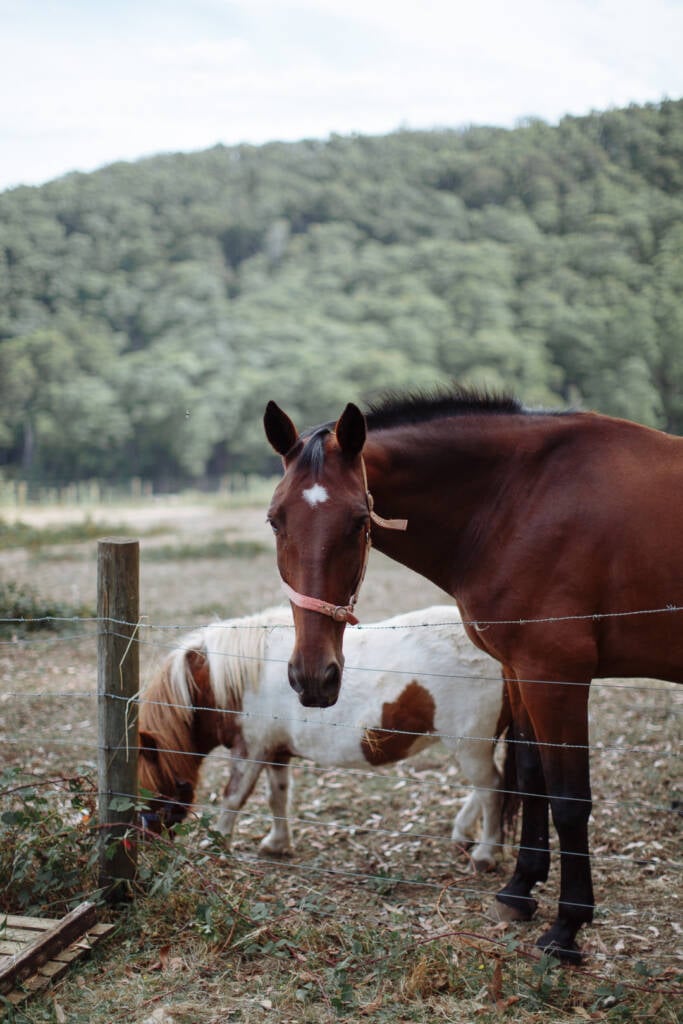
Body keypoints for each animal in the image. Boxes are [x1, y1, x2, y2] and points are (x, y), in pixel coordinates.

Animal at [138, 605, 510, 871]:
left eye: (154, 789)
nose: (148, 844)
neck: (227, 678)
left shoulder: (251, 749)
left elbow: (233, 798)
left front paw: (217, 843)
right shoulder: (275, 752)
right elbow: (277, 797)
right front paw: (278, 843)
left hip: (470, 745)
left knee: (492, 789)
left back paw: (484, 855)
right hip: (472, 746)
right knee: (483, 789)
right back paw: (462, 835)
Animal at [263, 388, 683, 961]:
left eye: (358, 521)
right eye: (274, 520)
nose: (313, 677)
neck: (519, 498)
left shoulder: (557, 676)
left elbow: (569, 799)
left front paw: (567, 927)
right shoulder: (520, 671)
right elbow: (531, 777)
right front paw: (520, 890)